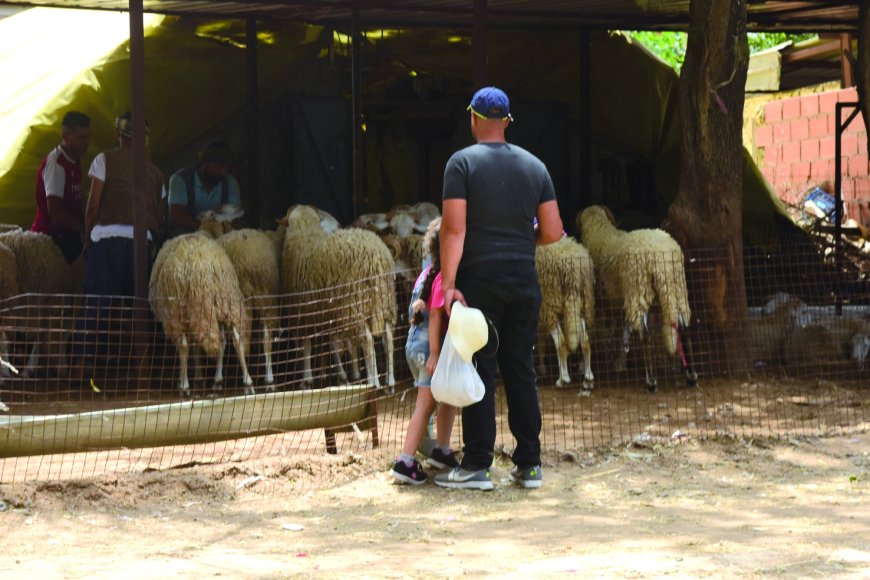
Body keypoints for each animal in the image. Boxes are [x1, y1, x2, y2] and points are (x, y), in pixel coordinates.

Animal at [148, 232, 252, 398]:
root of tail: (205, 266)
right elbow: (199, 345)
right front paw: (199, 377)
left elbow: (188, 346)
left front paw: (185, 381)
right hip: (225, 301)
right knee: (234, 340)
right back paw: (240, 382)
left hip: (179, 310)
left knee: (184, 345)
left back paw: (185, 387)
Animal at [282, 204, 398, 390]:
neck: (305, 231)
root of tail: (377, 256)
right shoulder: (330, 315)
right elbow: (333, 344)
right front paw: (342, 376)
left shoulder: (302, 313)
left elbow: (306, 346)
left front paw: (306, 380)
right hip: (385, 301)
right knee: (388, 340)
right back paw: (391, 382)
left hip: (354, 305)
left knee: (367, 341)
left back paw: (373, 383)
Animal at [536, 236, 596, 390]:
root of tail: (573, 268)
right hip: (579, 304)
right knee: (585, 341)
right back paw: (588, 378)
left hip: (548, 302)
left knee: (561, 344)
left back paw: (563, 379)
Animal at [584, 206, 700, 392]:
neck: (601, 233)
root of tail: (660, 258)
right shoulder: (619, 301)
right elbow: (623, 331)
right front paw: (620, 362)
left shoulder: (606, 303)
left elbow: (611, 332)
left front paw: (614, 362)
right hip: (676, 289)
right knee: (684, 327)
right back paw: (691, 375)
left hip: (638, 291)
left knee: (645, 332)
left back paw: (650, 381)